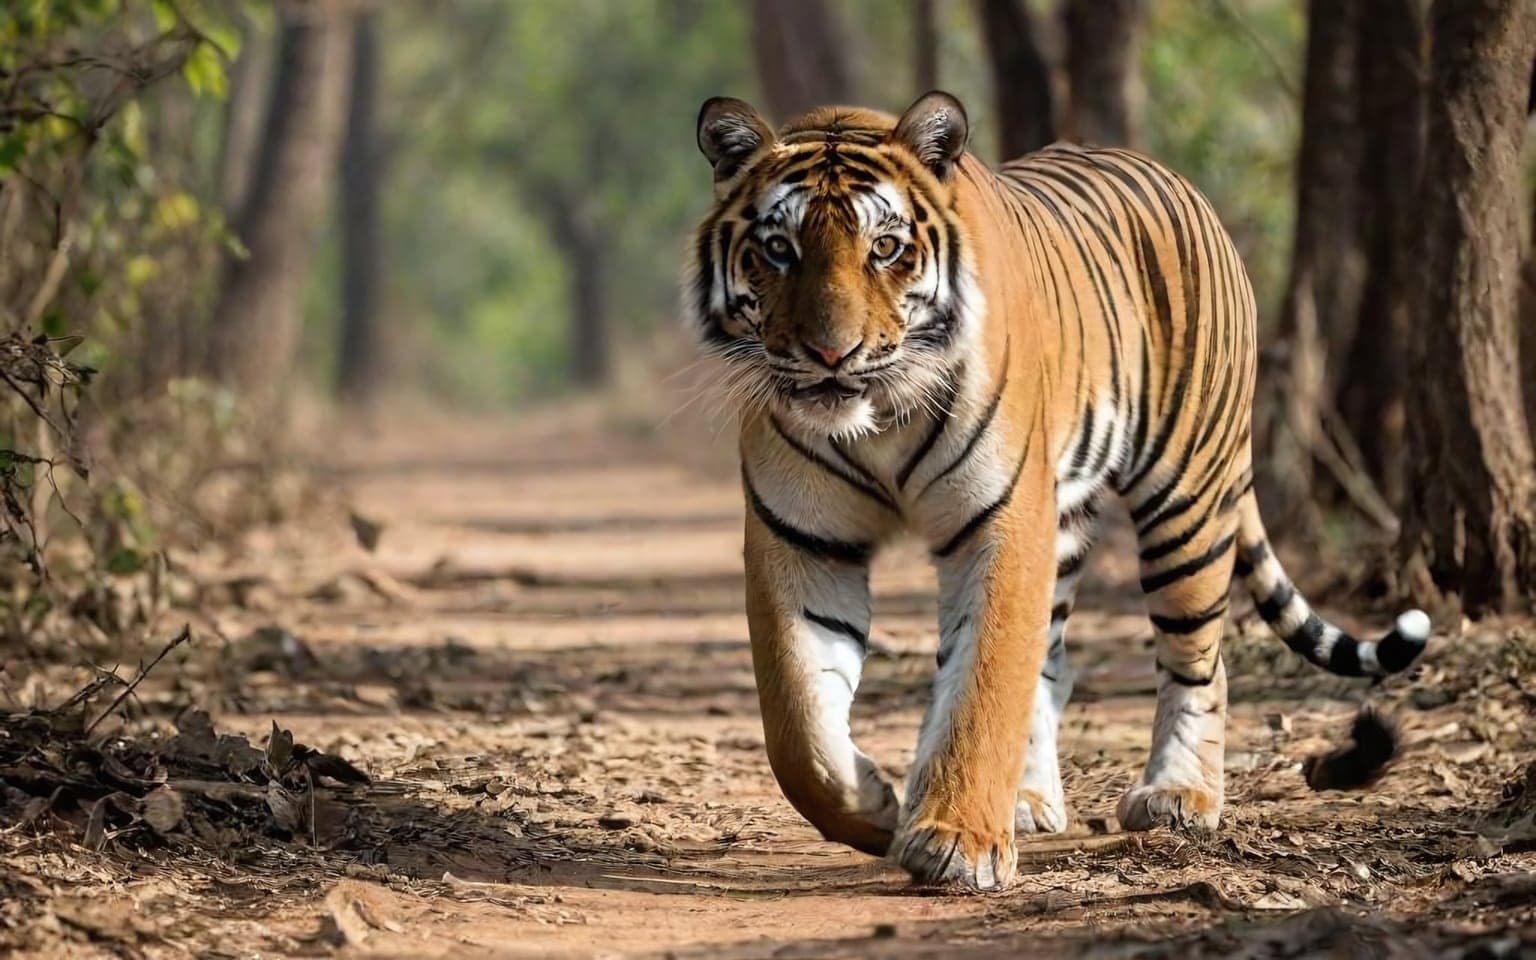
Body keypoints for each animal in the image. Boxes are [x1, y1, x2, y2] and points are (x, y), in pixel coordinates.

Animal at [683, 90, 1431, 891]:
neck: (877, 418)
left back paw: (1179, 795)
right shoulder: (802, 538)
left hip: (1185, 499)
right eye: (778, 249)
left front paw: (957, 842)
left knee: (1200, 661)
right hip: (1069, 519)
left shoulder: (1004, 521)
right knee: (1056, 664)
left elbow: (984, 684)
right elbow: (798, 729)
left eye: (884, 248)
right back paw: (1028, 800)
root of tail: (1183, 186)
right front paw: (877, 806)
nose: (831, 354)